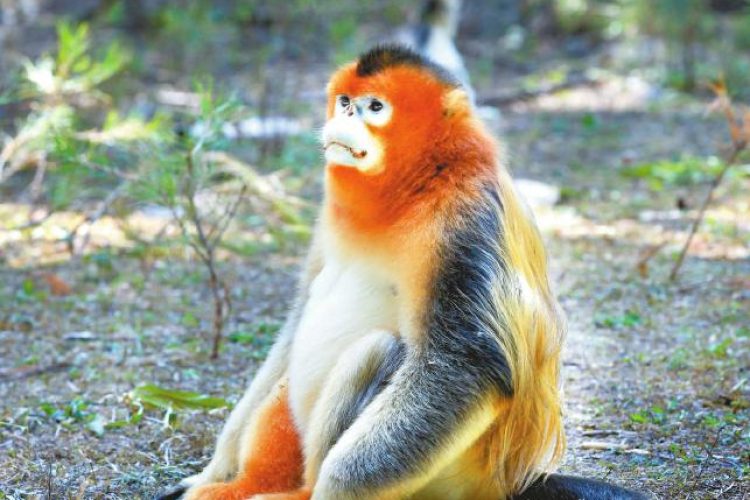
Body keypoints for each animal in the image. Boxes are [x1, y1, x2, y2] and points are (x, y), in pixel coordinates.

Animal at [159, 45, 647, 500]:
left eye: (375, 107)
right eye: (345, 102)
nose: (345, 116)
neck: (418, 186)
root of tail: (501, 481)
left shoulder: (466, 221)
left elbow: (464, 363)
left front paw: (332, 490)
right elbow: (294, 325)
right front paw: (213, 470)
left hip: (441, 477)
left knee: (380, 350)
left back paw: (302, 490)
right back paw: (238, 483)